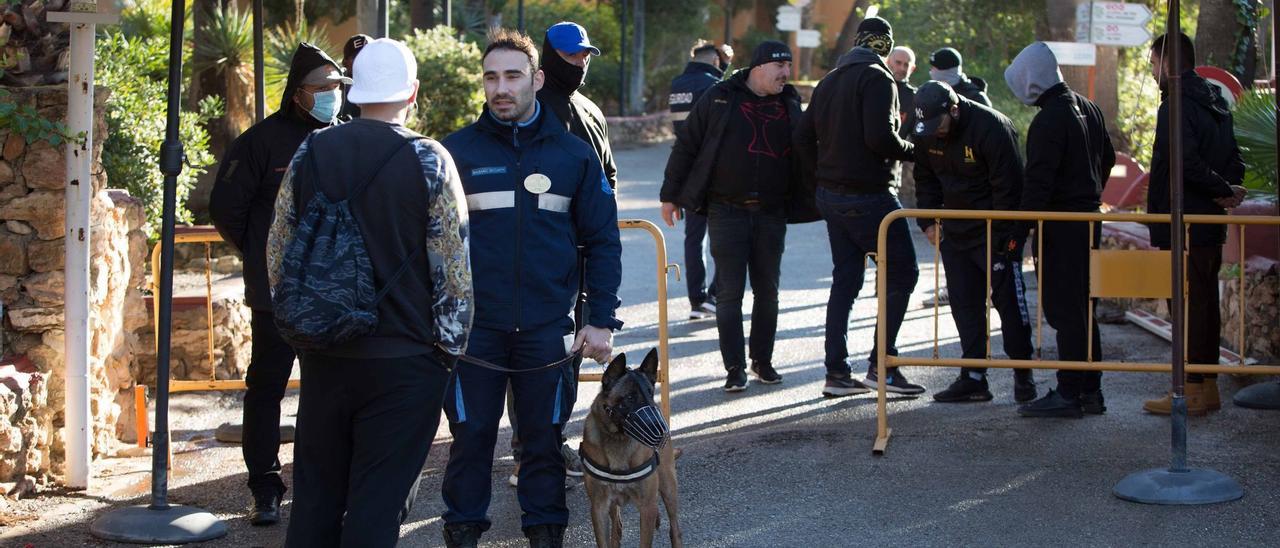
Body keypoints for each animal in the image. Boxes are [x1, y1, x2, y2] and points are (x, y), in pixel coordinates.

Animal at [581, 350, 680, 548]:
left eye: (651, 393)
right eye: (630, 397)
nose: (660, 430)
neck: (618, 439)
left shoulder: (647, 507)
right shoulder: (598, 507)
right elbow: (604, 540)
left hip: (669, 488)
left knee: (675, 529)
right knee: (617, 528)